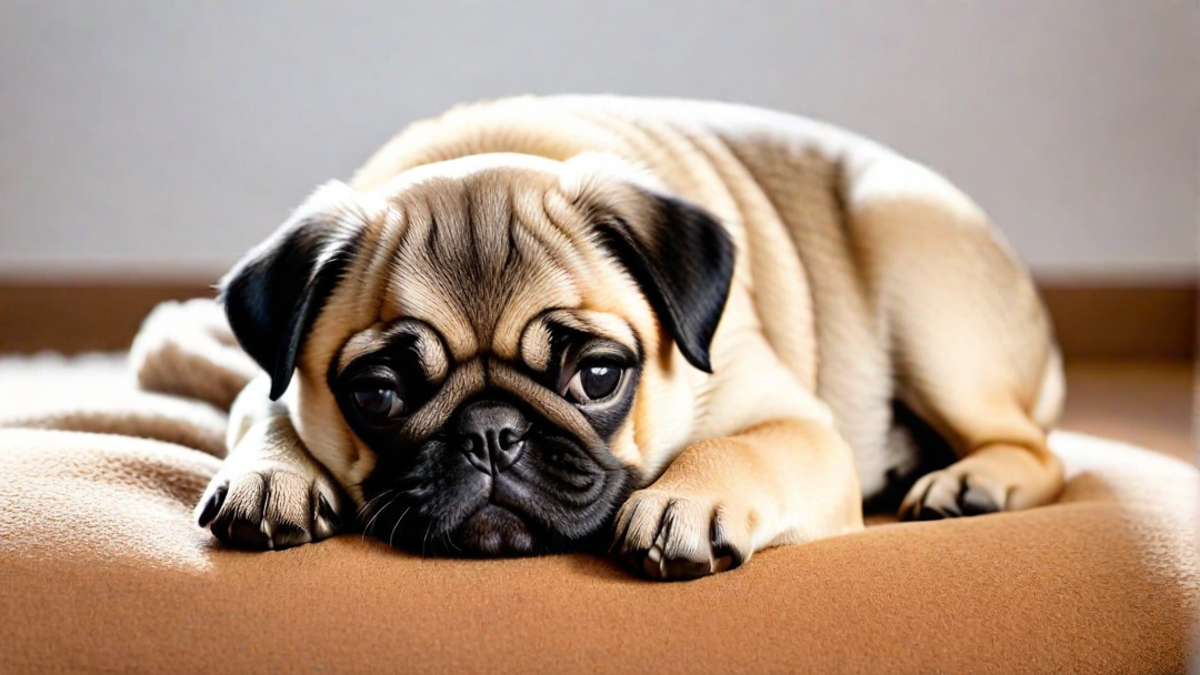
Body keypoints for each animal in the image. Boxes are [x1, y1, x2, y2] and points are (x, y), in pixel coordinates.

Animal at [145, 94, 1065, 578]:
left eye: (596, 376)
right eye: (378, 392)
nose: (490, 433)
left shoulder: (799, 426)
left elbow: (737, 446)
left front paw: (685, 501)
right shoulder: (265, 384)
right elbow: (267, 410)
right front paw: (271, 474)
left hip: (919, 281)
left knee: (1036, 449)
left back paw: (970, 481)